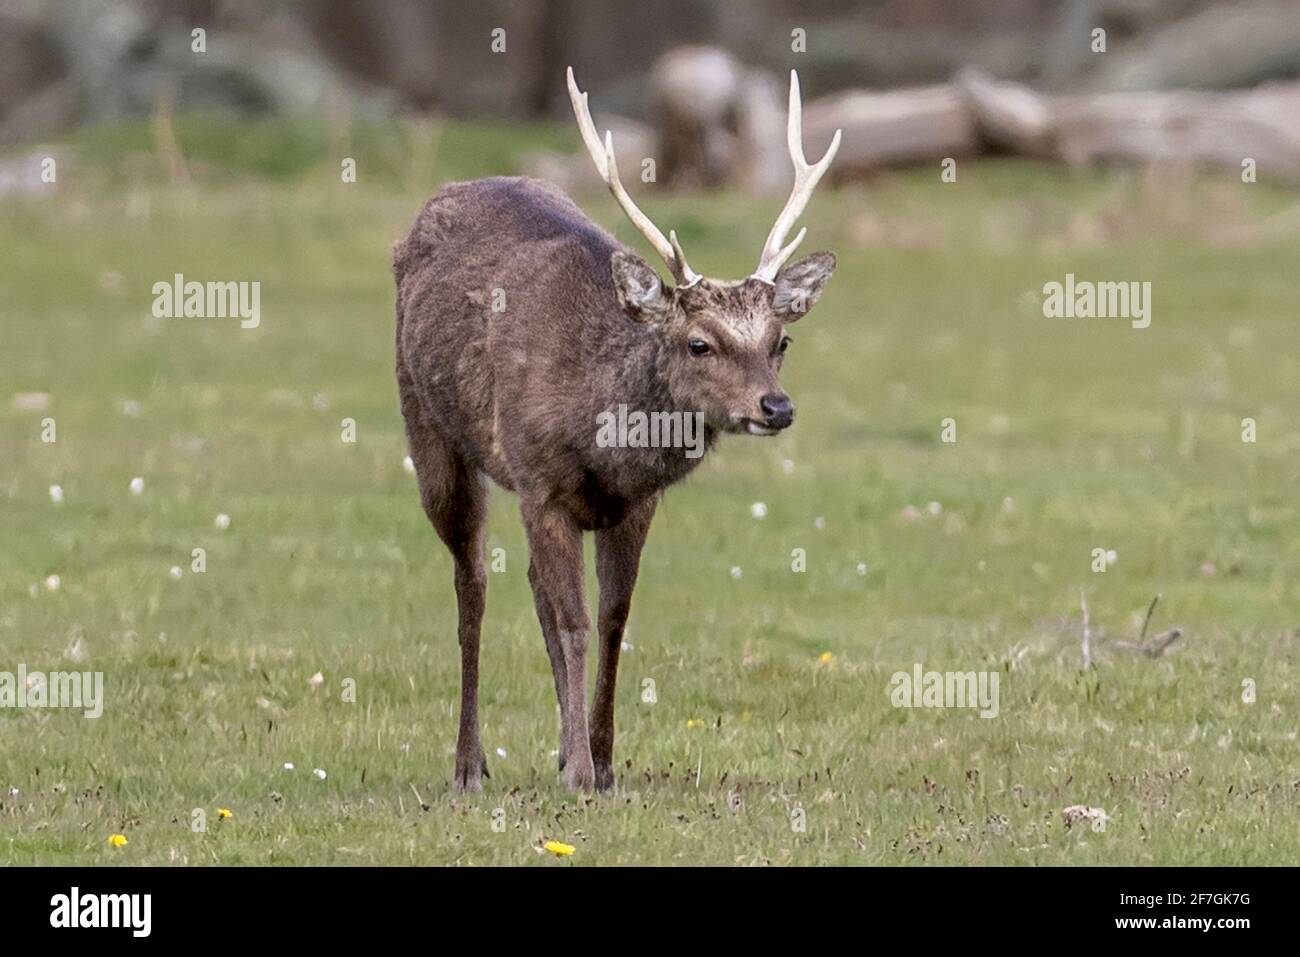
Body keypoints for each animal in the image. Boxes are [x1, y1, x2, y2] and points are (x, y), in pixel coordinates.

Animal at [394, 67, 840, 792]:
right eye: (697, 342)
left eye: (781, 340)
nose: (777, 407)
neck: (598, 433)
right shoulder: (540, 481)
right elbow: (573, 621)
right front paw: (580, 769)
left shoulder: (634, 504)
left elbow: (610, 618)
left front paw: (600, 760)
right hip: (431, 432)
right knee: (472, 586)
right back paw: (469, 764)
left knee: (530, 586)